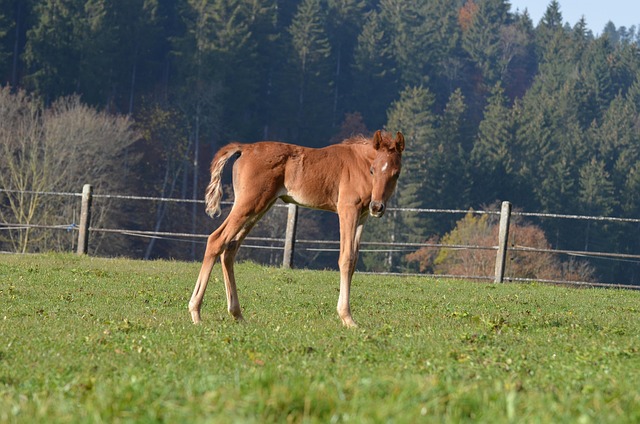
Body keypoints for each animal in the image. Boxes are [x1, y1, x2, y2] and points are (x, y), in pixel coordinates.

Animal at [188, 130, 405, 327]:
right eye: (372, 170)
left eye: (396, 173)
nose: (377, 207)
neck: (359, 163)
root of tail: (245, 148)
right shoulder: (347, 209)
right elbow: (346, 258)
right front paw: (347, 318)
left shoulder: (362, 216)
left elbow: (354, 260)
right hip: (249, 203)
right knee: (216, 240)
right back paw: (196, 312)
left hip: (260, 206)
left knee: (230, 248)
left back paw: (237, 314)